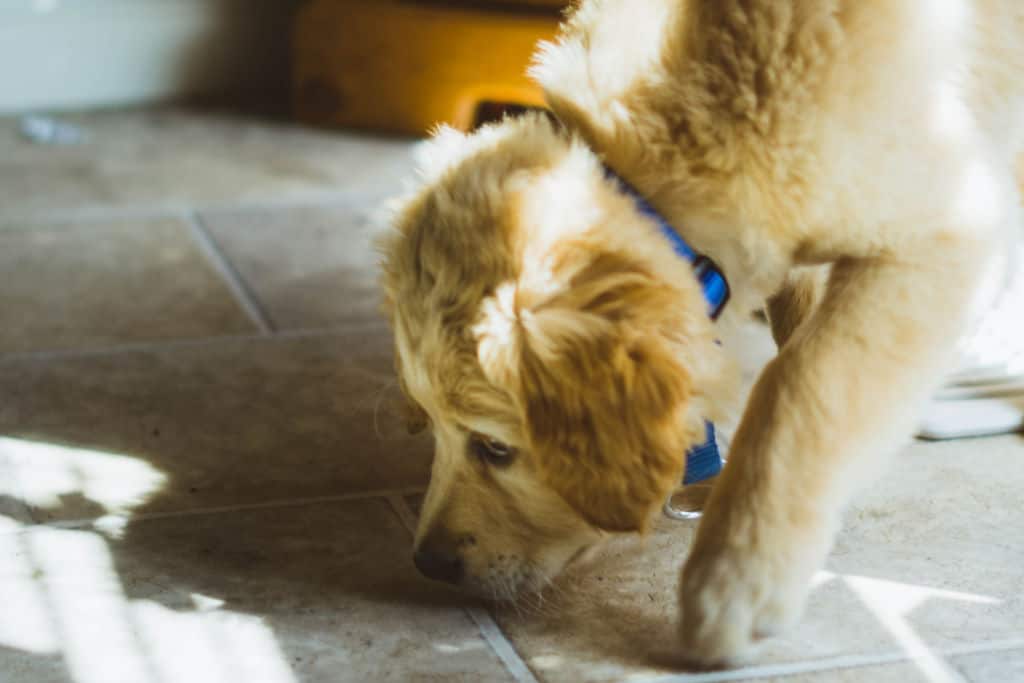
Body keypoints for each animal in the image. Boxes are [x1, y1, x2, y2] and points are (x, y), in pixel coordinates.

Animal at [378, 0, 1024, 663]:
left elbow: (804, 379)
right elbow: (800, 329)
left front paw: (739, 574)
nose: (428, 563)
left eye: (496, 447)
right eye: (431, 425)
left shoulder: (947, 228)